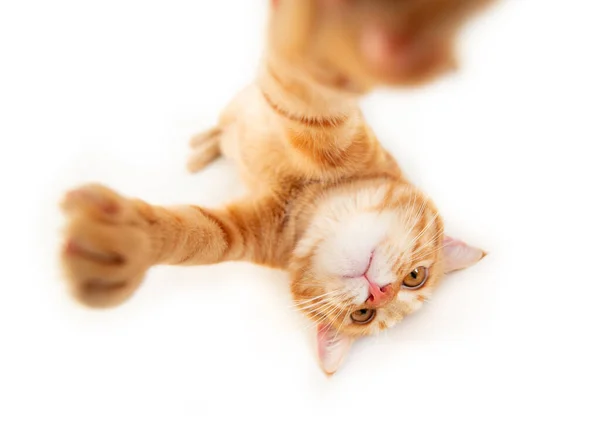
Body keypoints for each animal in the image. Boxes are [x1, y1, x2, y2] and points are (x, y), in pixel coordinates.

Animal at [61, 0, 492, 372]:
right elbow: (311, 87)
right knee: (221, 128)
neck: (313, 203)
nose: (380, 293)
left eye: (363, 315)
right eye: (416, 276)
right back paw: (200, 149)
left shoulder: (240, 235)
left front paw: (124, 245)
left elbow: (197, 237)